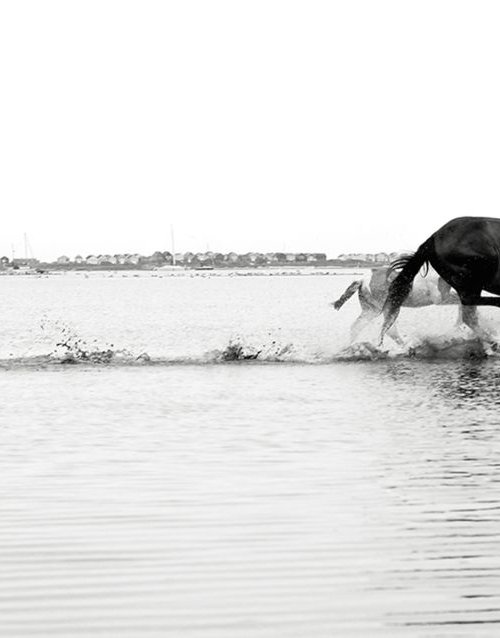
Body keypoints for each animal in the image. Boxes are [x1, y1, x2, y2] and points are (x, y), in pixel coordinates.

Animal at [330, 264, 462, 344]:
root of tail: (362, 280)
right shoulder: (440, 298)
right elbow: (461, 303)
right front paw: (458, 327)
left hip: (371, 310)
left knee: (356, 327)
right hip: (389, 308)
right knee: (389, 330)